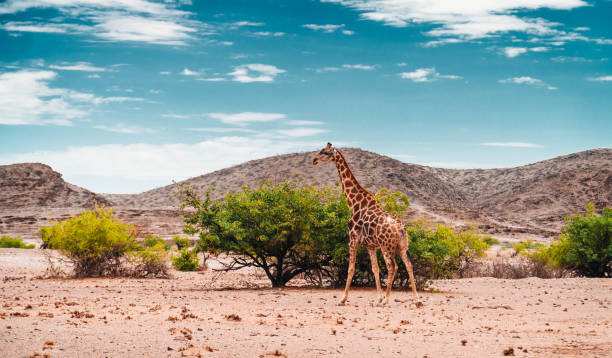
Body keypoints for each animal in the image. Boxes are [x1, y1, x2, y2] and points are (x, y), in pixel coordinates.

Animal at [314, 143, 418, 304]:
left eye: (324, 152)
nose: (314, 160)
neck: (353, 204)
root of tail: (401, 228)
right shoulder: (371, 245)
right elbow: (375, 268)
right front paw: (378, 297)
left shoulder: (353, 239)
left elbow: (351, 269)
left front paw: (343, 299)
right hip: (401, 246)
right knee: (409, 265)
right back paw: (416, 298)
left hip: (386, 246)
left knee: (392, 267)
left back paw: (387, 300)